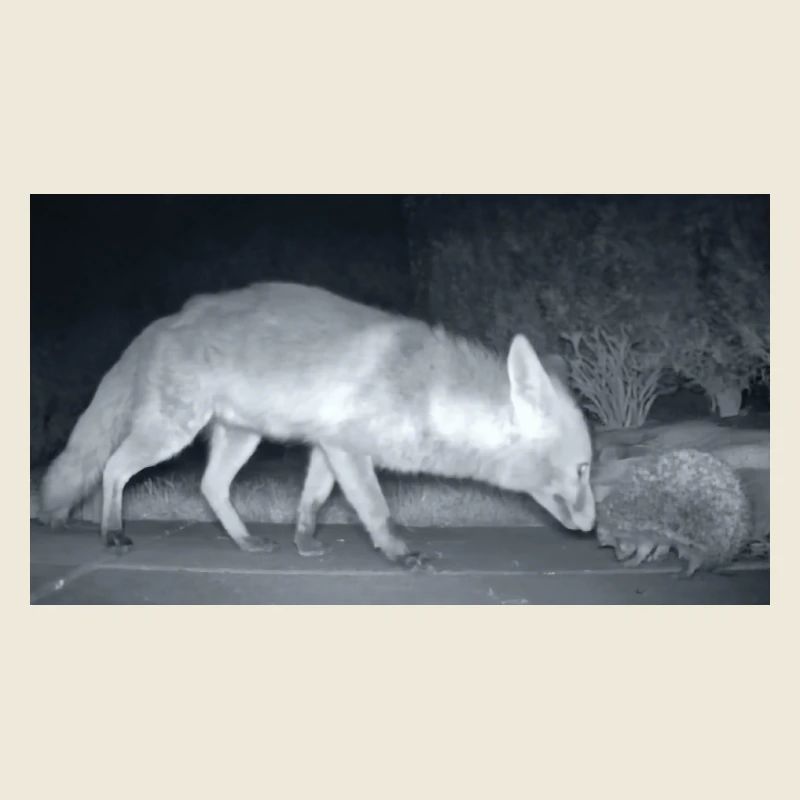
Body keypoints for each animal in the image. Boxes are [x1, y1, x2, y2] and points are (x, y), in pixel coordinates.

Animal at [39, 282, 596, 566]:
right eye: (583, 470)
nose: (594, 528)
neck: (425, 392)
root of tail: (162, 322)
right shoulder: (349, 450)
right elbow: (377, 511)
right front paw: (400, 554)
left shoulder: (331, 446)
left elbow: (311, 502)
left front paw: (304, 544)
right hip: (169, 434)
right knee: (112, 469)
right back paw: (111, 531)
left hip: (241, 438)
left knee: (210, 487)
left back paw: (245, 542)